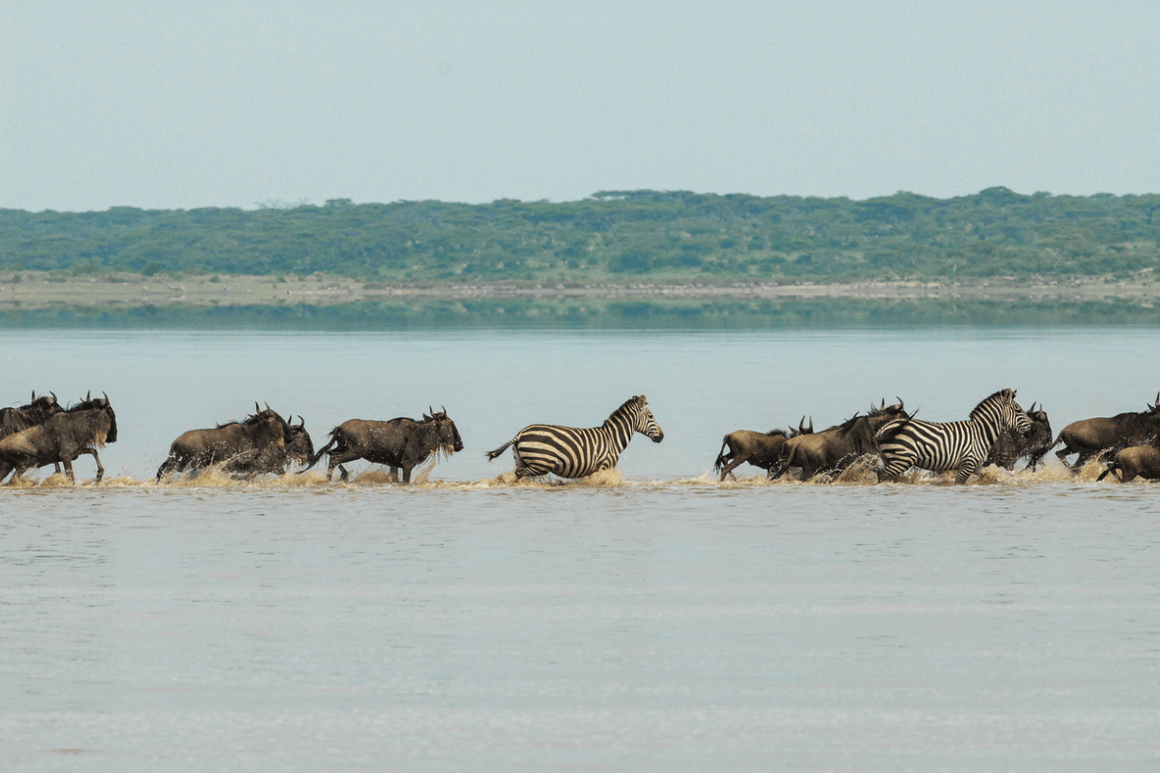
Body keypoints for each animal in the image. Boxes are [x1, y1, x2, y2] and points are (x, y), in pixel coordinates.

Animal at [485, 395, 664, 479]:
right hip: (542, 462)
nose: (662, 436)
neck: (612, 439)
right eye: (651, 416)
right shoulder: (603, 466)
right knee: (520, 474)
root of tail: (520, 433)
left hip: (521, 459)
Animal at [875, 388, 1032, 484]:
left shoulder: (975, 465)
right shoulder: (967, 464)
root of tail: (883, 429)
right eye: (1019, 411)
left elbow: (989, 476)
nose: (1033, 426)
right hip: (903, 458)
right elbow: (958, 483)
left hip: (890, 458)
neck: (980, 433)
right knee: (881, 474)